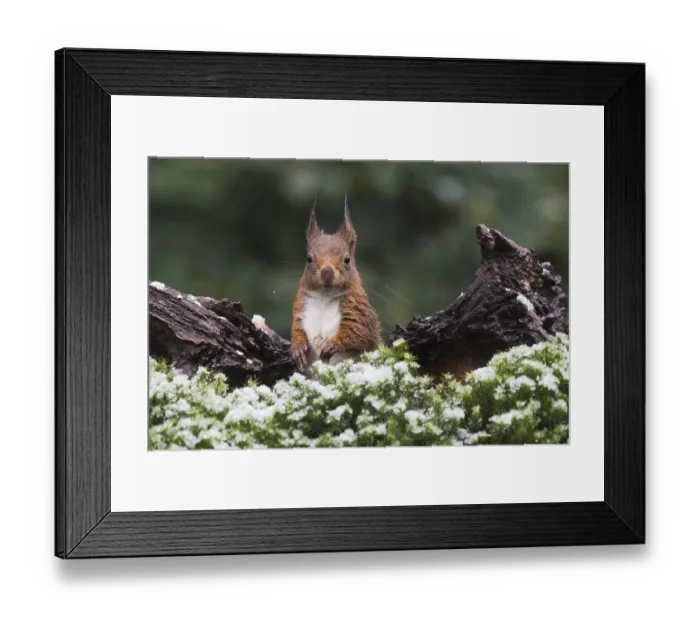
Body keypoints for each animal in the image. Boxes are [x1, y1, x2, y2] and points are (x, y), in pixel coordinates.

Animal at [290, 199, 382, 372]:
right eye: (308, 259)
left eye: (347, 259)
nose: (327, 272)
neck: (324, 298)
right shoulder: (300, 309)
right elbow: (297, 330)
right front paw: (297, 348)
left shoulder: (360, 314)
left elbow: (359, 333)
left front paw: (333, 345)